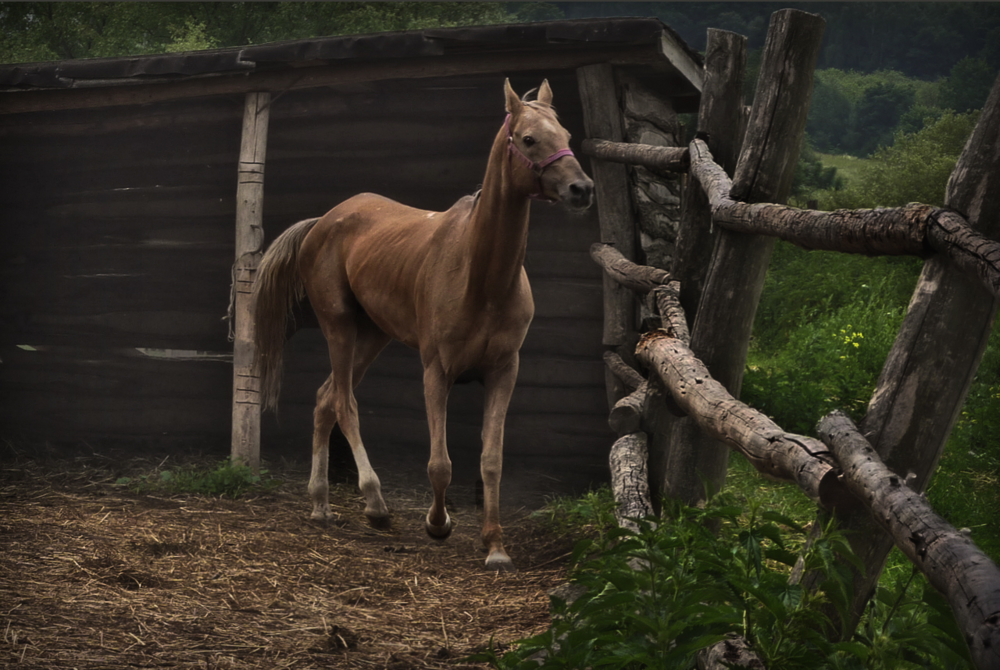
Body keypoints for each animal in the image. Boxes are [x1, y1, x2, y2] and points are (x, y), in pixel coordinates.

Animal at [252, 79, 592, 572]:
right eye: (528, 139)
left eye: (565, 133)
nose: (581, 188)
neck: (483, 280)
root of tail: (324, 221)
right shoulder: (437, 371)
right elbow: (440, 463)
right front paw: (438, 524)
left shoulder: (504, 371)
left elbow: (491, 459)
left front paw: (495, 546)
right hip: (340, 327)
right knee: (344, 403)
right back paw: (374, 504)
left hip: (373, 335)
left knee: (324, 399)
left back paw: (321, 505)